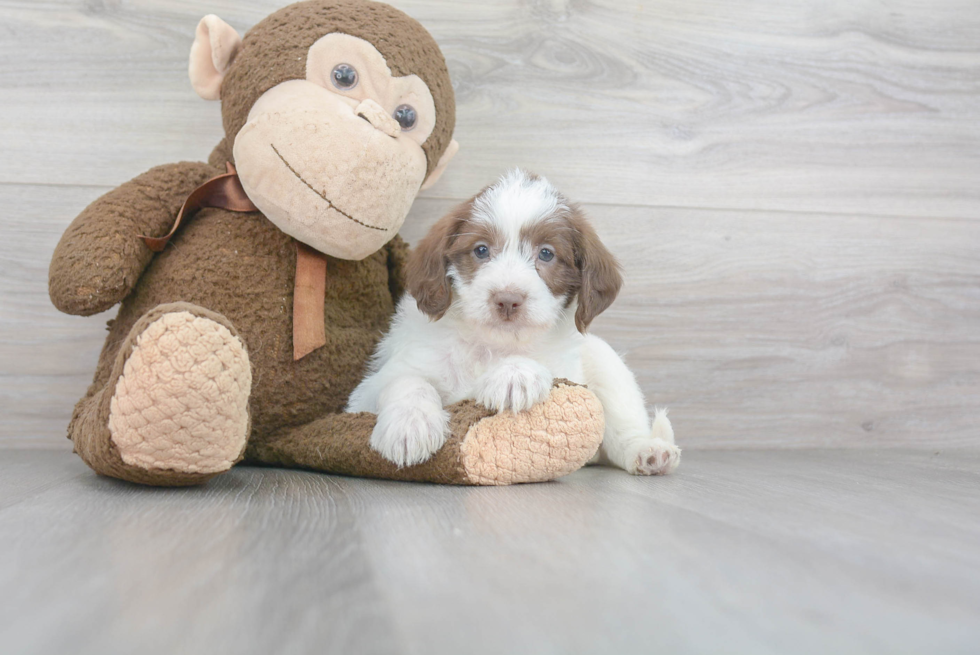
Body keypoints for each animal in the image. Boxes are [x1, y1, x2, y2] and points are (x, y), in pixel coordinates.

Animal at [346, 169, 680, 476]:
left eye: (546, 254)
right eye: (481, 250)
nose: (507, 300)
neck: (491, 345)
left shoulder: (568, 371)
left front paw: (515, 374)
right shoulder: (364, 395)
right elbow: (407, 382)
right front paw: (411, 424)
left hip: (605, 361)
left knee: (623, 428)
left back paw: (648, 452)